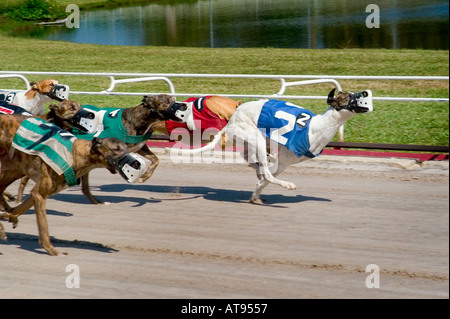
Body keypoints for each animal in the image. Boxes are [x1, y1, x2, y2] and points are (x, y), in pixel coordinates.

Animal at [179, 89, 372, 205]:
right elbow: (267, 177)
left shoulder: (283, 162)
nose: (366, 93)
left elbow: (263, 178)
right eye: (349, 97)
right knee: (265, 171)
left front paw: (255, 196)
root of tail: (231, 121)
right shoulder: (283, 162)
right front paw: (259, 193)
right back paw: (286, 184)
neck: (317, 127)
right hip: (256, 137)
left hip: (254, 142)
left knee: (253, 161)